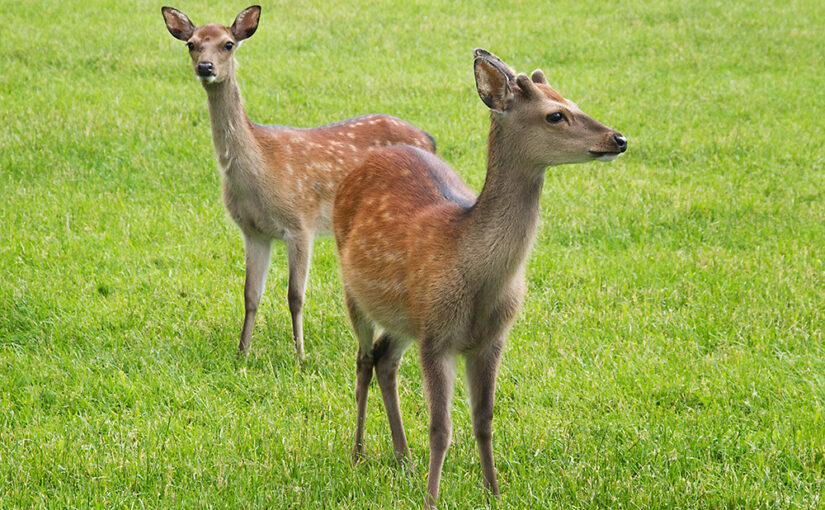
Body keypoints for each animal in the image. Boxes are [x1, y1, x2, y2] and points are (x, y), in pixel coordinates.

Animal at [161, 6, 436, 359]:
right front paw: (242, 352)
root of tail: (429, 139)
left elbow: (295, 296)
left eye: (228, 44)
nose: (205, 67)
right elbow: (250, 294)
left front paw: (300, 355)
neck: (259, 170)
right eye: (192, 44)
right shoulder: (253, 231)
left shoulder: (300, 222)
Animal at [333, 49, 627, 507]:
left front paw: (494, 492)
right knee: (364, 359)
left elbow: (484, 420)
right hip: (355, 292)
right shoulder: (437, 337)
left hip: (407, 316)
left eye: (574, 102)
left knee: (385, 358)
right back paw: (358, 453)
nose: (618, 139)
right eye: (555, 115)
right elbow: (441, 428)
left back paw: (403, 458)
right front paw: (432, 499)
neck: (478, 276)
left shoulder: (490, 338)